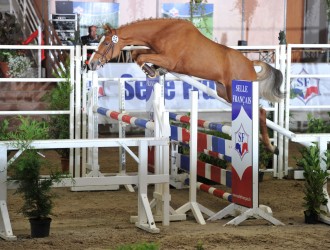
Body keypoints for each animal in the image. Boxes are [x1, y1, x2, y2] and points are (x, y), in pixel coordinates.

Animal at [88, 18, 284, 153]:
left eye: (106, 43)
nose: (91, 64)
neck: (163, 32)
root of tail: (250, 64)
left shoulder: (169, 59)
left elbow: (141, 56)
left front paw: (152, 71)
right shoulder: (155, 52)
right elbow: (137, 53)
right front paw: (155, 70)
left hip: (236, 91)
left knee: (261, 112)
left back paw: (271, 147)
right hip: (225, 93)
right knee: (259, 112)